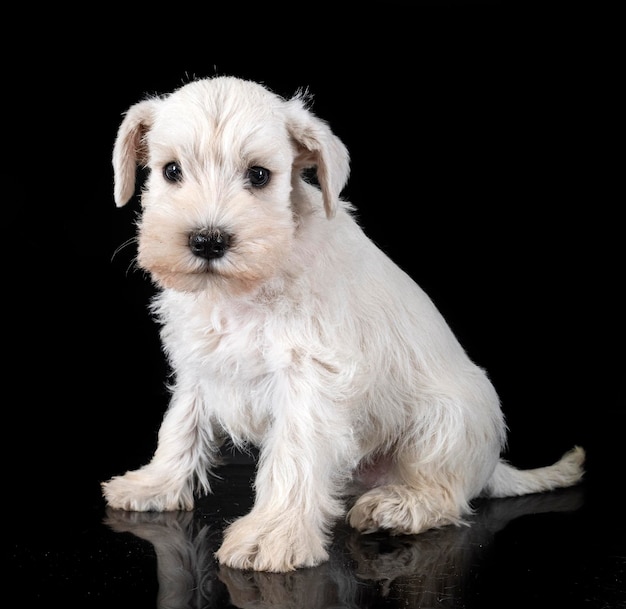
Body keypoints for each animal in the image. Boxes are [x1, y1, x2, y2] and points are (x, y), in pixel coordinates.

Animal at [103, 76, 584, 568]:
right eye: (171, 171)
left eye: (259, 175)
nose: (207, 241)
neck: (242, 292)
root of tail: (491, 467)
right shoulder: (198, 364)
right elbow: (180, 426)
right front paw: (155, 485)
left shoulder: (308, 378)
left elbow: (292, 457)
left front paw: (273, 534)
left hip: (449, 421)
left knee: (445, 491)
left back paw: (397, 505)